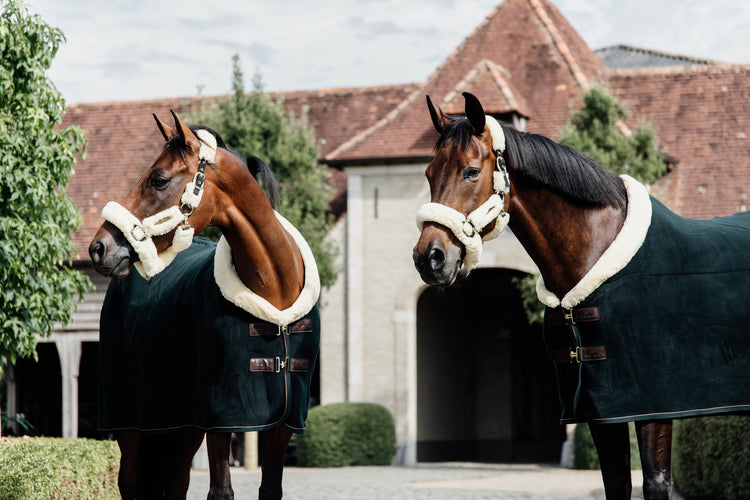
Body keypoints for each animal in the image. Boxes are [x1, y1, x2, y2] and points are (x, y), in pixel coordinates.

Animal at [89, 111, 320, 498]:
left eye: (158, 179)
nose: (98, 248)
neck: (276, 300)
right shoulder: (219, 421)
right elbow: (221, 490)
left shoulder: (283, 423)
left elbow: (270, 489)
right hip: (130, 426)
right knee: (131, 482)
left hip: (181, 428)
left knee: (175, 483)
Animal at [414, 92, 750, 498]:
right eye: (429, 174)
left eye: (471, 171)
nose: (429, 258)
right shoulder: (601, 411)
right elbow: (616, 482)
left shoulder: (653, 407)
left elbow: (655, 483)